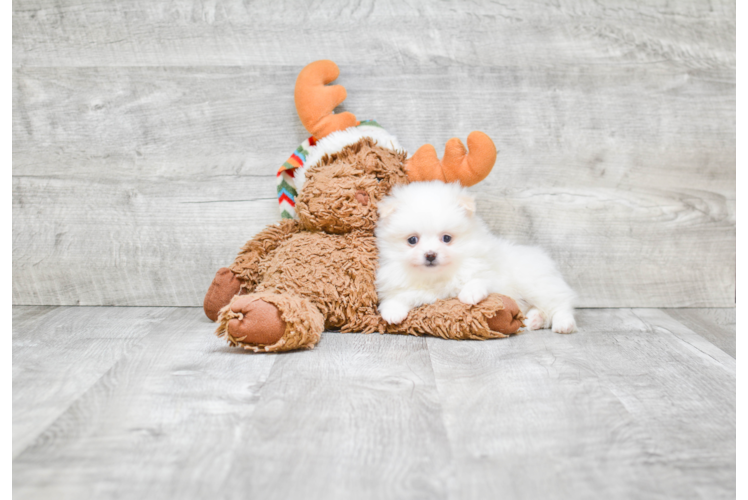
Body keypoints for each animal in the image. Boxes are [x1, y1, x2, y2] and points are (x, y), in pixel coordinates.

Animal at [374, 182, 580, 334]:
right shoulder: (404, 284)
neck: (439, 276)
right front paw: (392, 312)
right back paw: (534, 320)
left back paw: (563, 324)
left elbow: (479, 279)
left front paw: (469, 294)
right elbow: (396, 297)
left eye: (446, 238)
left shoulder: (488, 270)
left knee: (560, 303)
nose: (430, 254)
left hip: (536, 284)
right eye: (412, 240)